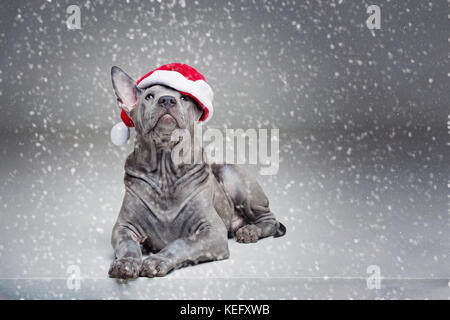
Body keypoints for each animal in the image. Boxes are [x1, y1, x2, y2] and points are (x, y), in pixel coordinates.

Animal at [108, 65, 284, 278]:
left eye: (184, 98)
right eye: (149, 96)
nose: (167, 100)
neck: (165, 172)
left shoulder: (212, 231)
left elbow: (182, 243)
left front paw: (157, 260)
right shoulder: (123, 228)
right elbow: (128, 245)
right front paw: (125, 263)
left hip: (233, 176)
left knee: (270, 220)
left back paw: (251, 231)